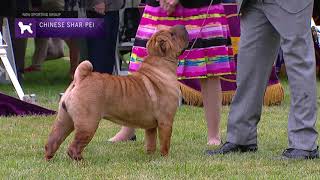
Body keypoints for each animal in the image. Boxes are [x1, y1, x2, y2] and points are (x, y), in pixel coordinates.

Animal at [45, 25, 190, 160]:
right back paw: (81, 162)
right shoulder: (166, 121)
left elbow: (151, 142)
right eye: (172, 34)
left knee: (52, 142)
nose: (183, 26)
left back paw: (49, 160)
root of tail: (81, 78)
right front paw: (165, 158)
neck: (161, 64)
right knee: (73, 147)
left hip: (64, 120)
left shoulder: (151, 127)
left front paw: (150, 156)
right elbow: (165, 143)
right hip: (88, 124)